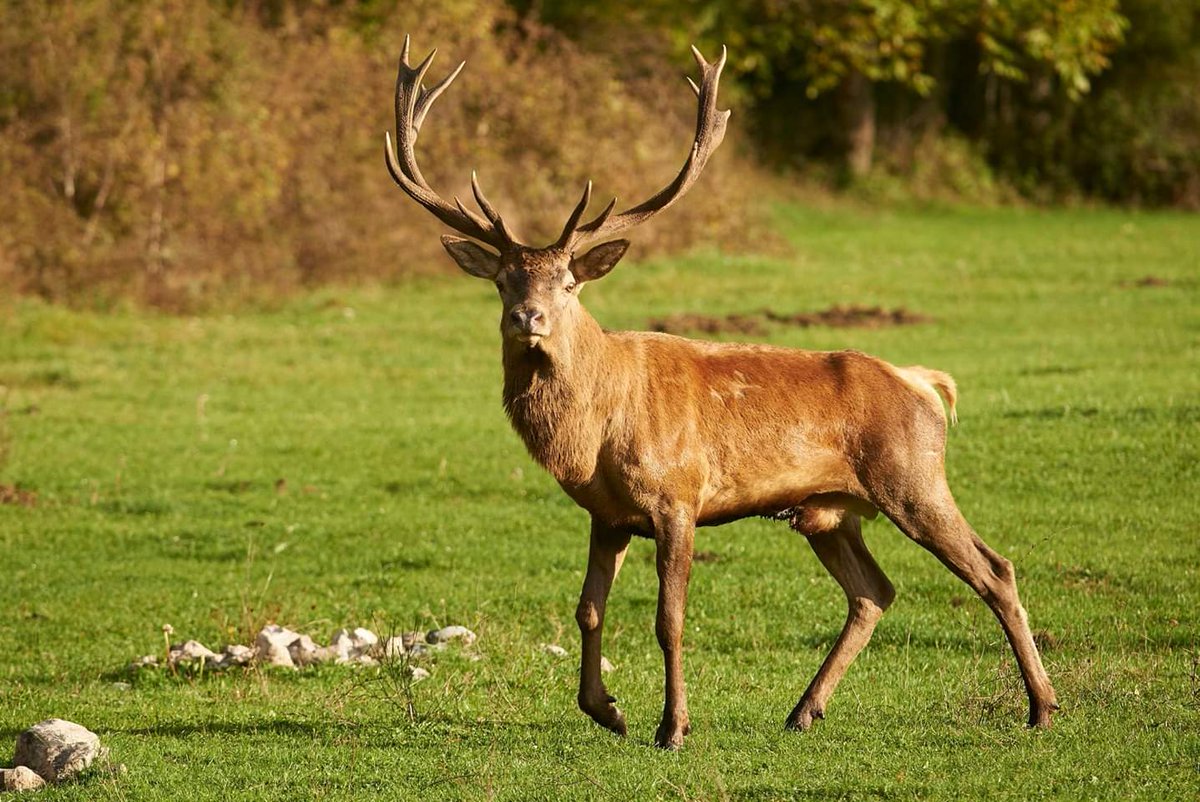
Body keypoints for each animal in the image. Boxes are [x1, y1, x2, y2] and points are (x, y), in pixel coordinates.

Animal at [384, 37, 1058, 750]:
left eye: (568, 282)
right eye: (503, 281)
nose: (527, 317)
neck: (597, 432)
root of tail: (926, 385)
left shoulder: (679, 495)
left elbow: (668, 617)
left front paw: (672, 726)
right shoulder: (606, 513)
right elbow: (588, 609)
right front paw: (607, 710)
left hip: (913, 477)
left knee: (994, 569)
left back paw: (1042, 706)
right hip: (830, 511)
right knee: (874, 590)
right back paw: (804, 710)